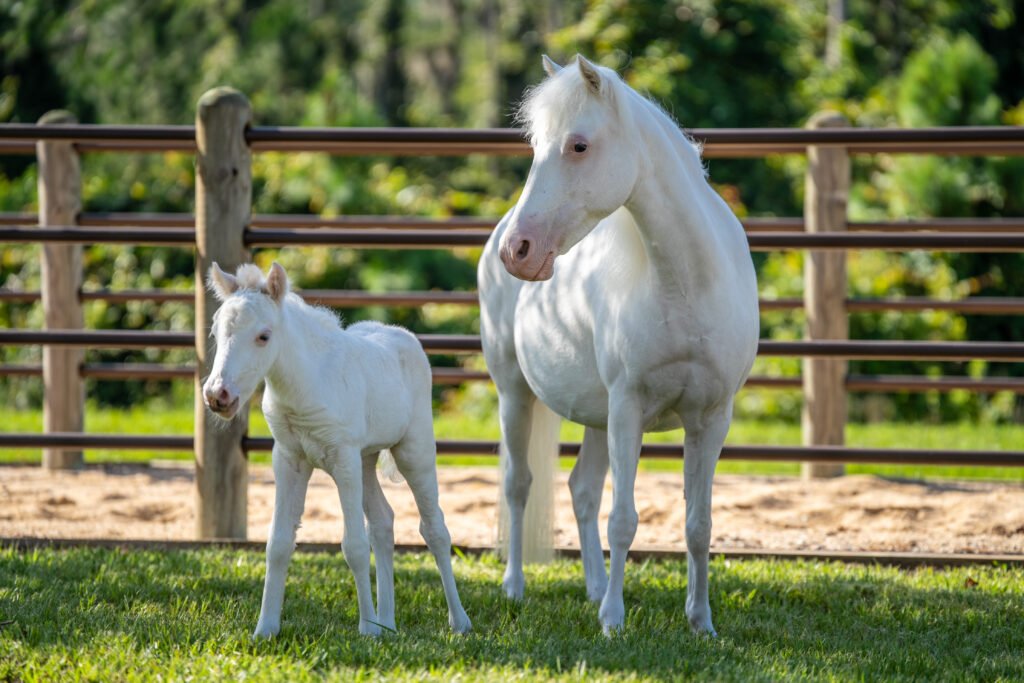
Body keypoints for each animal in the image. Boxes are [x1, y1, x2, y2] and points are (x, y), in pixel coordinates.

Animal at [202, 264, 471, 643]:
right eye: (216, 331)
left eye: (264, 336)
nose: (218, 395)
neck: (305, 385)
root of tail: (401, 335)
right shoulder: (289, 459)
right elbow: (278, 543)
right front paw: (265, 629)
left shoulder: (343, 459)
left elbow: (354, 545)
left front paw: (366, 630)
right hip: (366, 460)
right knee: (383, 521)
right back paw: (388, 623)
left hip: (413, 451)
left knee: (434, 529)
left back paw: (458, 621)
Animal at [479, 56, 761, 638]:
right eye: (535, 146)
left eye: (579, 145)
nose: (518, 251)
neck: (687, 286)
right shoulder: (628, 407)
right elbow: (624, 520)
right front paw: (613, 620)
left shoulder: (710, 418)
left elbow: (698, 524)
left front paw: (701, 621)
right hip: (515, 393)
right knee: (520, 485)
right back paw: (516, 586)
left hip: (594, 416)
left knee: (581, 490)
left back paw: (589, 587)